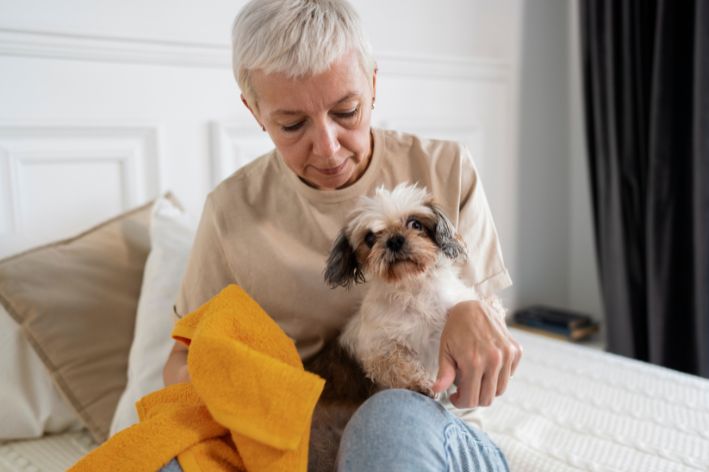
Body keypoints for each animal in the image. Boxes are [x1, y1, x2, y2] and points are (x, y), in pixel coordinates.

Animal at [324, 183, 478, 396]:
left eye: (415, 224)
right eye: (370, 238)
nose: (395, 240)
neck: (412, 288)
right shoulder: (377, 347)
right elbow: (395, 363)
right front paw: (420, 382)